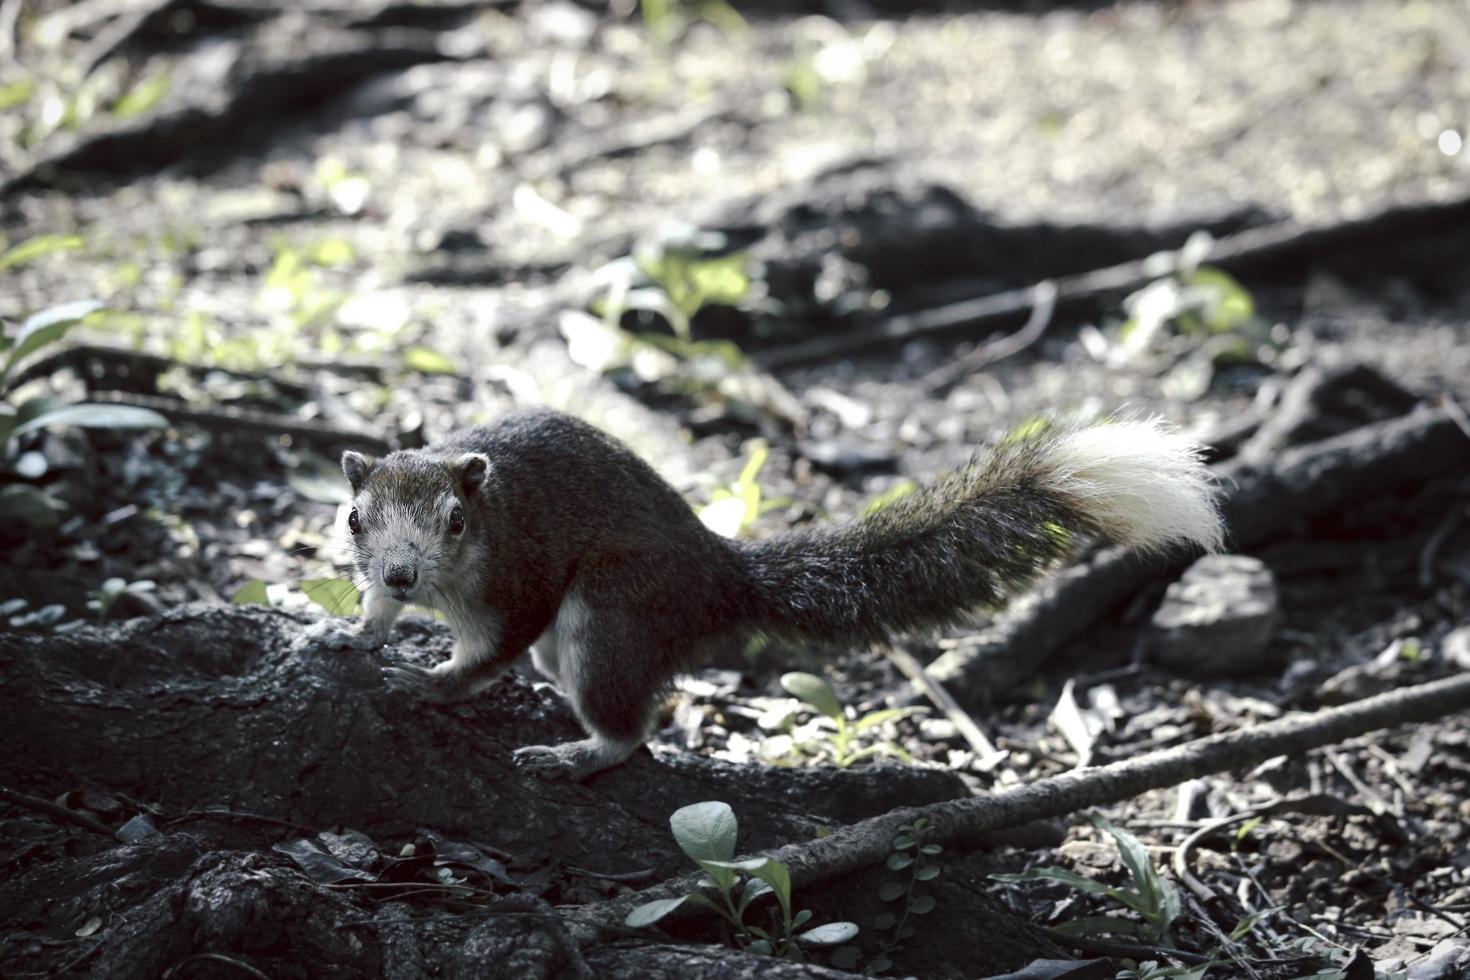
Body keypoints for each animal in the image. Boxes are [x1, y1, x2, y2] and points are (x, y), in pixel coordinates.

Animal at [304, 411, 1223, 775]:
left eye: (456, 521)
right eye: (353, 516)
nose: (401, 572)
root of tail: (719, 574)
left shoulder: (518, 578)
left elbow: (491, 648)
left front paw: (432, 683)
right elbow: (374, 614)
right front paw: (353, 632)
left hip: (615, 606)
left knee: (628, 721)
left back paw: (583, 752)